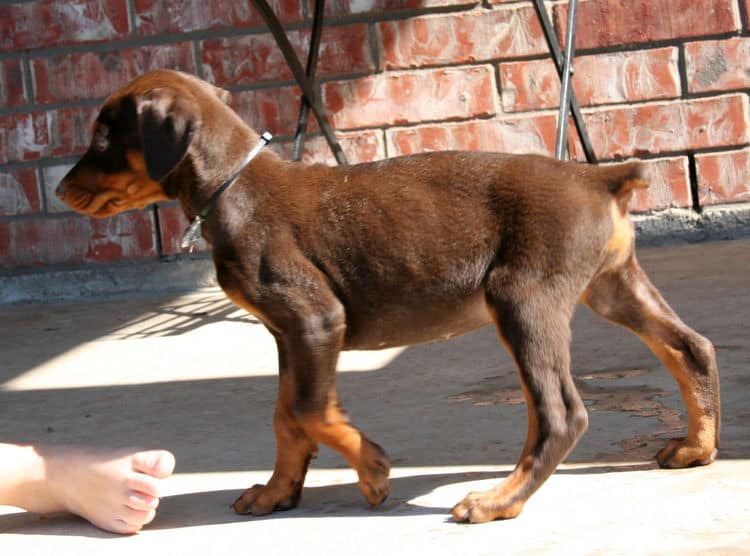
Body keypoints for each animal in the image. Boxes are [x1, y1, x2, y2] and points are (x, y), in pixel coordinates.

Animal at [55, 69, 720, 520]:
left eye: (101, 138)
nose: (59, 190)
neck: (231, 188)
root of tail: (598, 178)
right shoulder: (288, 334)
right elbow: (286, 417)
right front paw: (277, 491)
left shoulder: (316, 319)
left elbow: (307, 410)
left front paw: (373, 471)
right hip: (611, 285)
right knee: (691, 348)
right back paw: (697, 445)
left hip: (522, 297)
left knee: (560, 413)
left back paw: (499, 500)